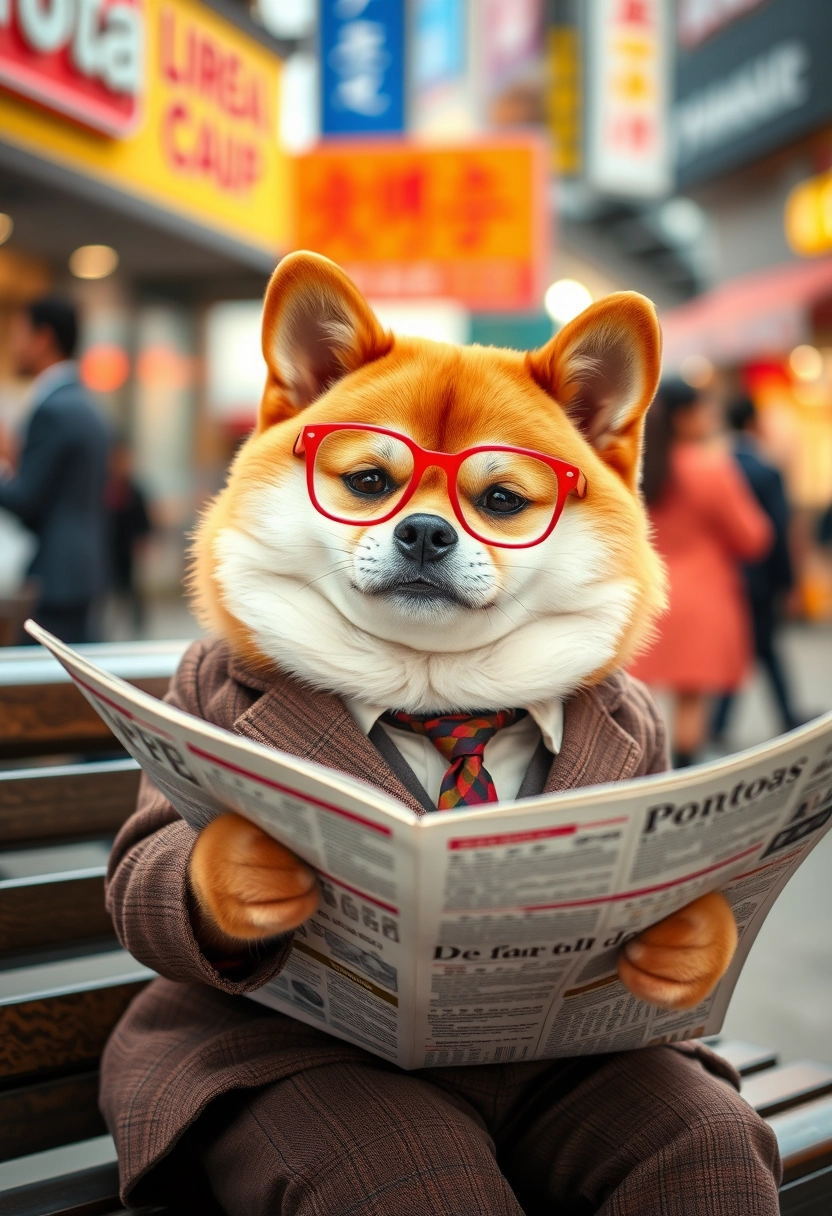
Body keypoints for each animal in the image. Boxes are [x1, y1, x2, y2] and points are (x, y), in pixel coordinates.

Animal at [187, 251, 734, 1011]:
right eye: (368, 481)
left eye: (501, 499)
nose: (424, 531)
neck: (435, 696)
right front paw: (253, 857)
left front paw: (683, 935)